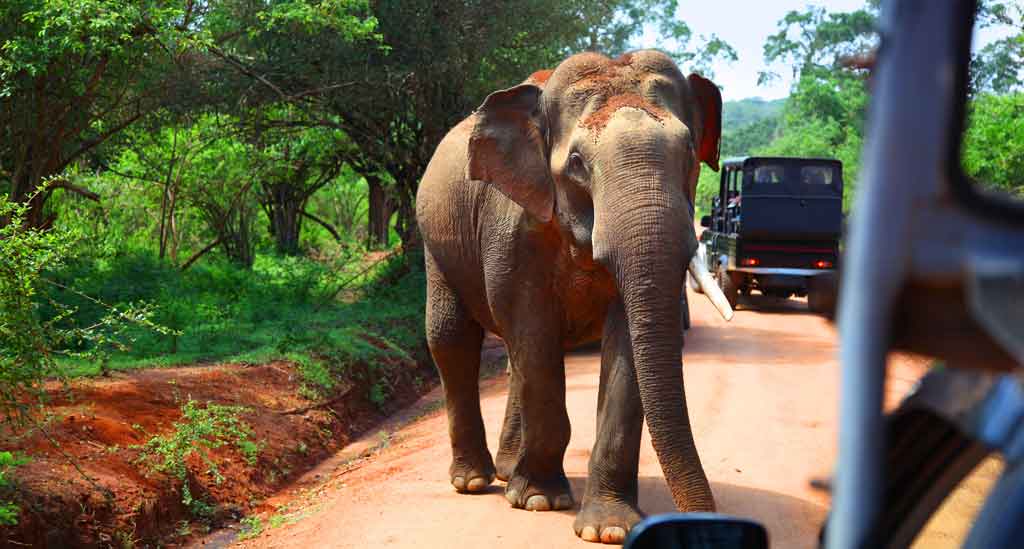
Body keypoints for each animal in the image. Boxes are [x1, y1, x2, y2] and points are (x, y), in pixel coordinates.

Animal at [415, 50, 737, 544]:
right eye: (579, 162)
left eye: (688, 152)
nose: (706, 520)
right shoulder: (512, 226)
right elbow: (534, 334)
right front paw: (540, 501)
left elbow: (624, 344)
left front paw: (609, 528)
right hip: (436, 241)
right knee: (452, 338)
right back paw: (474, 481)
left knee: (510, 359)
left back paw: (508, 471)